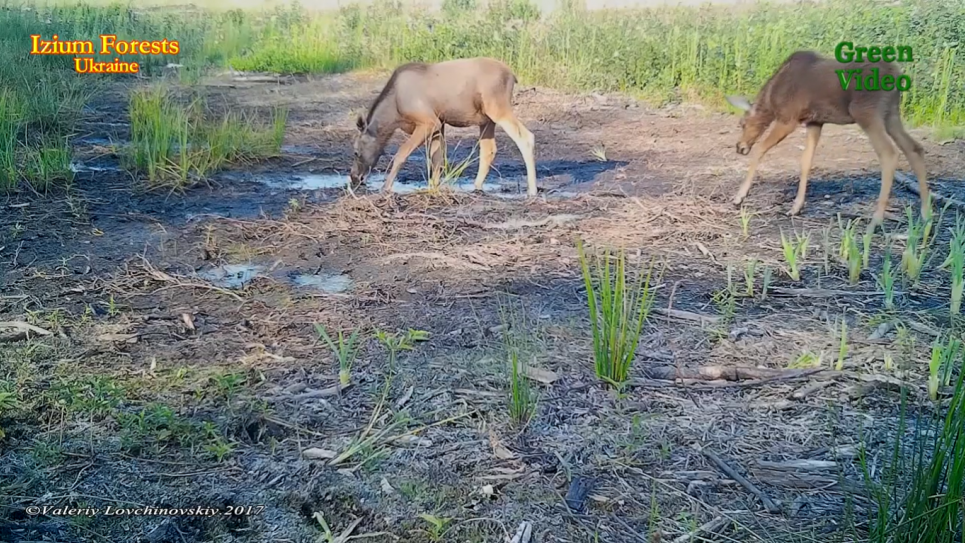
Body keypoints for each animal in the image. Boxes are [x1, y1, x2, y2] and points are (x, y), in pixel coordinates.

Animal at [350, 57, 540, 197]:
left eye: (356, 152)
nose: (354, 177)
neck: (394, 112)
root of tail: (513, 76)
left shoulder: (428, 122)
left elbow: (402, 153)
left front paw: (386, 187)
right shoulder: (439, 124)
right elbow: (437, 158)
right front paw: (433, 187)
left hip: (498, 109)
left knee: (526, 137)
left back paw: (532, 190)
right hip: (486, 120)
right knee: (489, 149)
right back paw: (477, 186)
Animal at [728, 51, 932, 227]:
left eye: (742, 123)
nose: (739, 146)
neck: (771, 99)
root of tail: (898, 75)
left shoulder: (788, 119)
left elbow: (760, 148)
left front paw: (739, 196)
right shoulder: (814, 122)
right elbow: (806, 162)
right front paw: (796, 207)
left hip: (866, 112)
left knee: (889, 153)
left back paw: (877, 218)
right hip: (891, 114)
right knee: (914, 148)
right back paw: (925, 212)